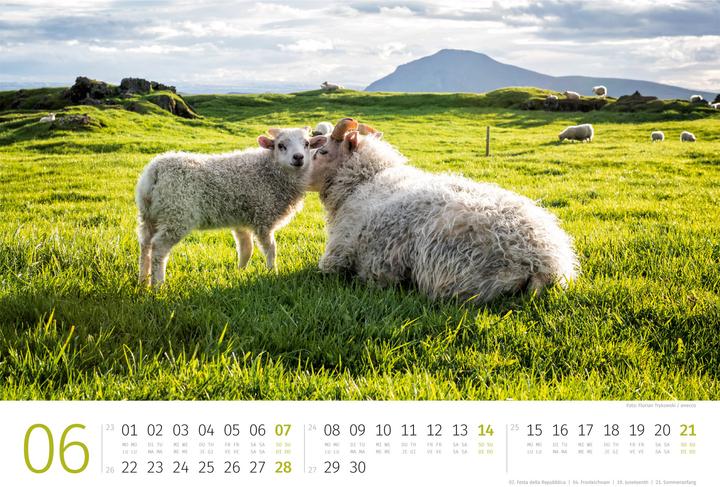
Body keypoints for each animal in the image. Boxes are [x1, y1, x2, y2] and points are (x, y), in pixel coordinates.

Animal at [136, 127, 327, 286]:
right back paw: (158, 285)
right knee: (158, 247)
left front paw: (240, 272)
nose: (298, 157)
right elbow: (271, 249)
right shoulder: (263, 216)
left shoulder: (241, 218)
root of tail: (155, 171)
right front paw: (273, 272)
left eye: (307, 144)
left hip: (150, 215)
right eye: (281, 145)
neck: (271, 171)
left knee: (145, 244)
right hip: (177, 213)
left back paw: (143, 280)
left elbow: (246, 249)